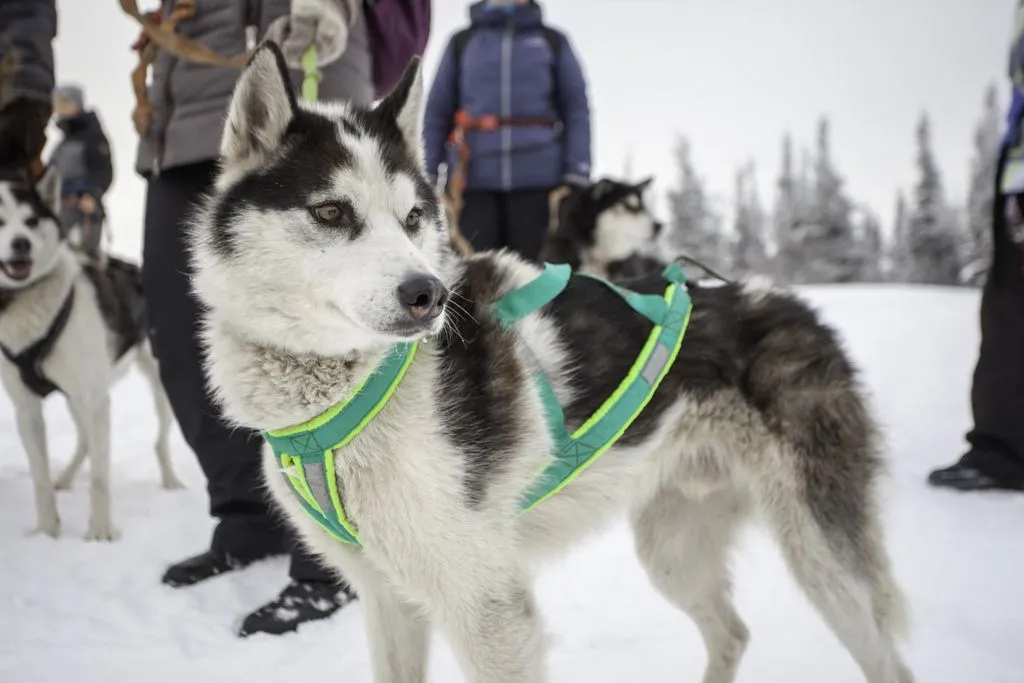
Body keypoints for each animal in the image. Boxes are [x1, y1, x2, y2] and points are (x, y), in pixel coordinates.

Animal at [0, 167, 182, 540]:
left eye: (31, 220)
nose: (21, 243)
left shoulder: (95, 399)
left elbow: (100, 477)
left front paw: (100, 531)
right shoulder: (27, 408)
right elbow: (39, 478)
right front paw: (47, 531)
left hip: (159, 388)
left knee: (159, 441)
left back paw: (170, 479)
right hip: (78, 398)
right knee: (85, 441)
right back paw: (66, 478)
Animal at [190, 42, 913, 683]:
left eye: (413, 216)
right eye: (331, 211)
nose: (429, 295)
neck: (352, 385)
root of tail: (791, 304)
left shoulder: (486, 604)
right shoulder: (388, 597)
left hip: (821, 556)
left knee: (884, 657)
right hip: (672, 548)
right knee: (732, 633)